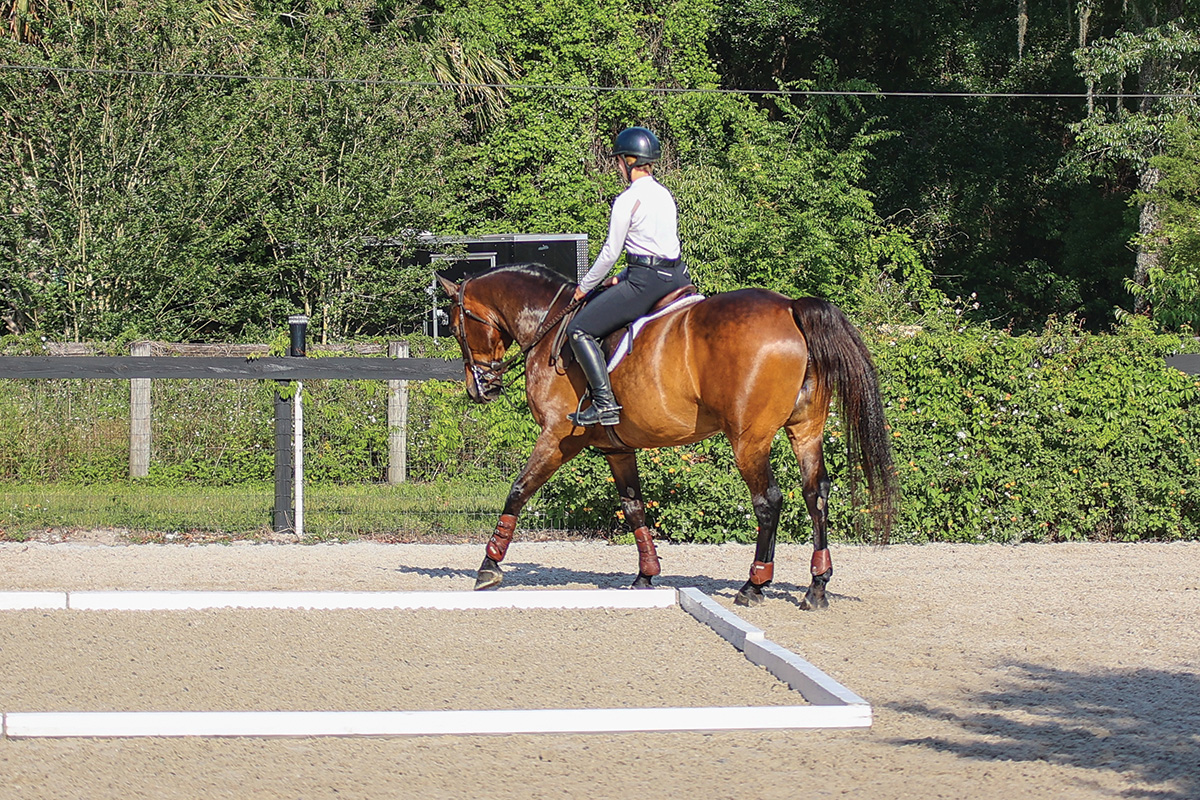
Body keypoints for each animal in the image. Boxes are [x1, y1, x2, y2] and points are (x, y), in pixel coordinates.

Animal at [437, 264, 897, 608]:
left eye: (457, 328)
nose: (480, 389)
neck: (549, 328)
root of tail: (790, 308)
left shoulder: (558, 438)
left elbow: (518, 490)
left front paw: (489, 567)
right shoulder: (617, 450)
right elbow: (634, 508)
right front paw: (646, 576)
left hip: (749, 439)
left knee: (768, 501)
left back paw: (754, 585)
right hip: (805, 431)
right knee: (815, 493)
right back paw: (817, 586)